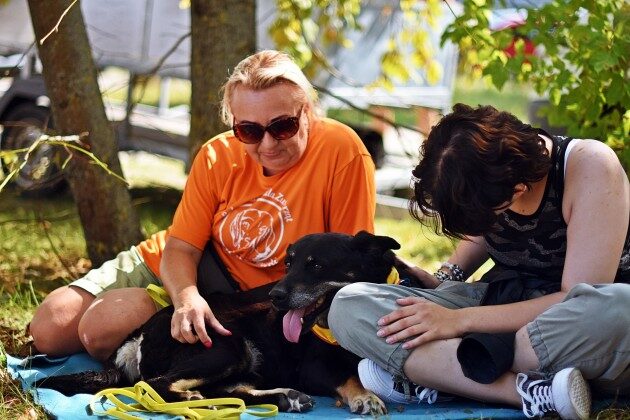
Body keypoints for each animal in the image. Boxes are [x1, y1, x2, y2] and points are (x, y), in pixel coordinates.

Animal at [33, 231, 400, 416]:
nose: (275, 297)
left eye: (317, 265)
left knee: (227, 390)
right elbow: (349, 375)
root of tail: (140, 333)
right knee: (154, 385)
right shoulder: (314, 367)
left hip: (244, 360)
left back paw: (283, 398)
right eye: (288, 264)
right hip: (226, 347)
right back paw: (197, 402)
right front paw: (365, 397)